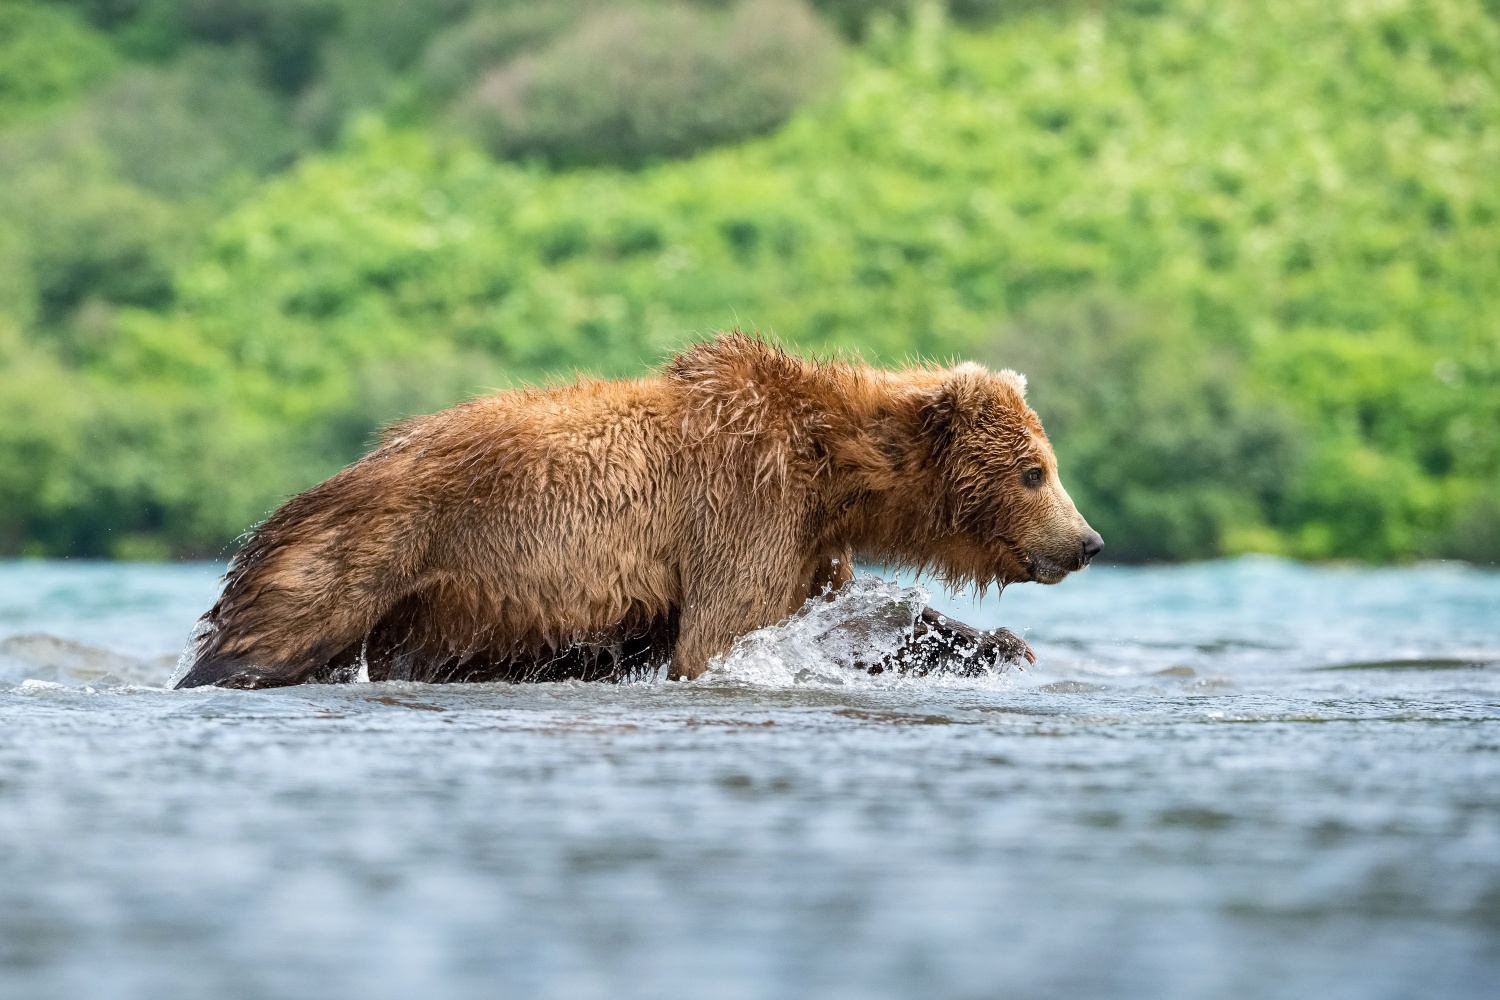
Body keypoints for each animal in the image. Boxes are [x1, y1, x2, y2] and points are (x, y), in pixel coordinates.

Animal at [178, 334, 1104, 689]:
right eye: (1035, 471)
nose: (1088, 541)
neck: (831, 469)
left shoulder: (808, 544)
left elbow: (841, 616)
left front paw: (994, 643)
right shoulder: (744, 508)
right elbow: (723, 635)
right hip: (364, 552)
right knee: (265, 637)